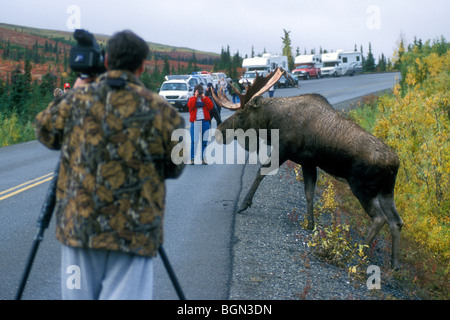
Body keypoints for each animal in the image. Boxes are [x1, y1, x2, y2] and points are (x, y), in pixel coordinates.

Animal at [213, 69, 402, 268]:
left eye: (240, 114)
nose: (219, 131)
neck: (271, 123)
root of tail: (394, 163)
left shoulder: (283, 150)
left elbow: (261, 172)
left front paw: (244, 204)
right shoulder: (308, 162)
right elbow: (309, 193)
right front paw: (310, 224)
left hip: (362, 187)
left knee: (380, 218)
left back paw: (357, 255)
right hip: (386, 191)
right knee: (396, 221)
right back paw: (394, 263)